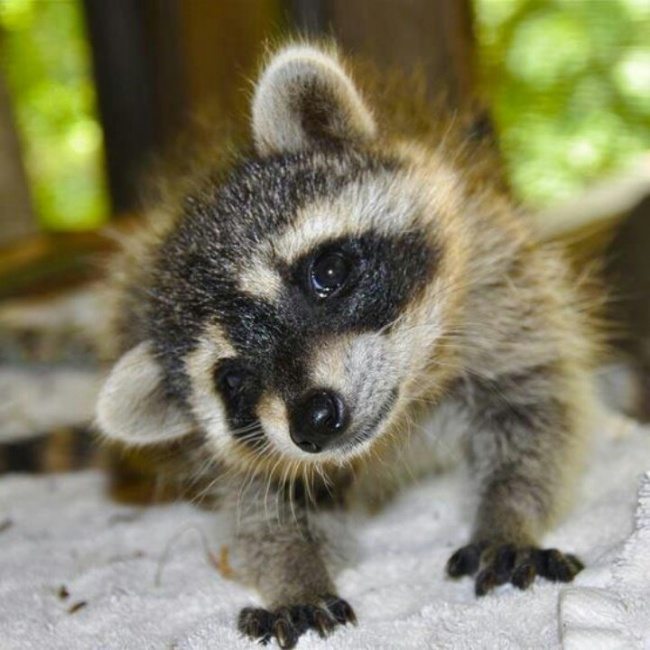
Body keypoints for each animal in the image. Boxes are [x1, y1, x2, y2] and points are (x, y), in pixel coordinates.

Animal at [96, 44, 596, 648]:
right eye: (233, 379)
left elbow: (535, 413)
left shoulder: (498, 281)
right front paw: (294, 575)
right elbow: (265, 505)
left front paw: (508, 514)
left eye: (327, 272)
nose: (312, 419)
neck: (400, 420)